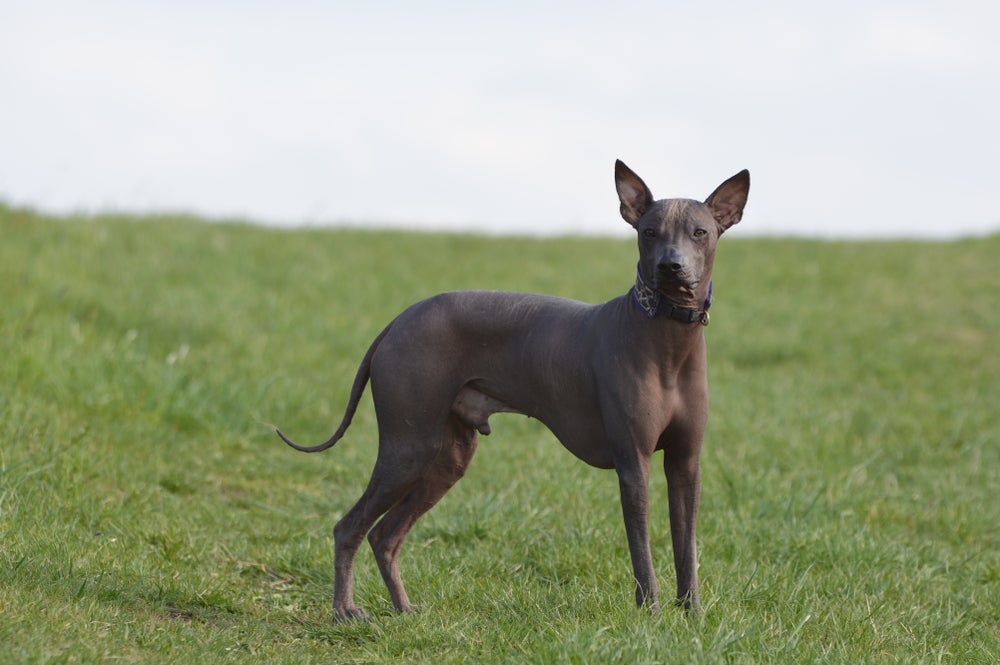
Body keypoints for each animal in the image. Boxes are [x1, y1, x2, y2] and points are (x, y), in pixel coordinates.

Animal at [276, 158, 752, 620]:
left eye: (700, 232)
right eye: (649, 232)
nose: (671, 265)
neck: (668, 341)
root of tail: (398, 320)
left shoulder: (686, 464)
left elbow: (686, 547)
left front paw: (691, 613)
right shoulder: (633, 464)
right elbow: (642, 550)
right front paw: (650, 613)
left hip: (447, 459)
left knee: (384, 536)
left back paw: (404, 610)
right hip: (407, 448)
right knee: (349, 527)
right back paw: (344, 611)